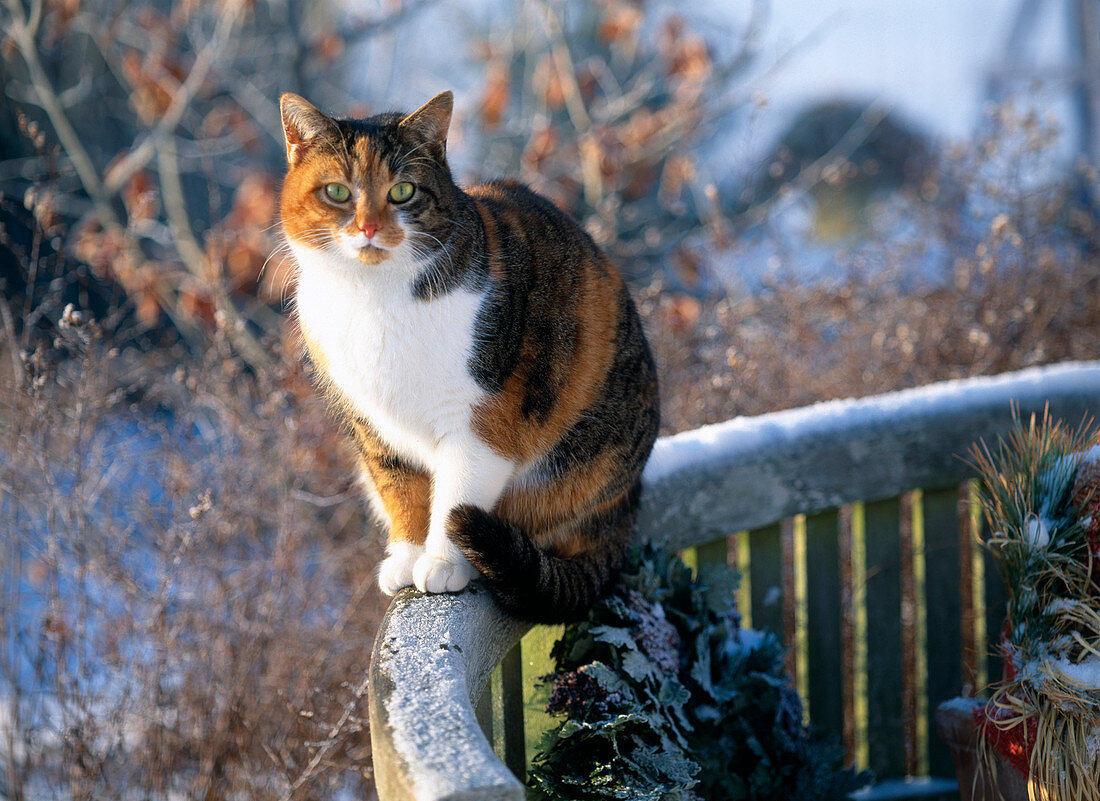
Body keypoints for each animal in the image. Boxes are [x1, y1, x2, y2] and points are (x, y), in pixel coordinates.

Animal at [281, 90, 660, 620]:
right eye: (337, 191)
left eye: (403, 192)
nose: (369, 227)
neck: (373, 299)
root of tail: (625, 512)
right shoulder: (372, 425)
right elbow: (400, 490)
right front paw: (407, 556)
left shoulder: (484, 421)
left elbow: (456, 494)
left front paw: (441, 563)